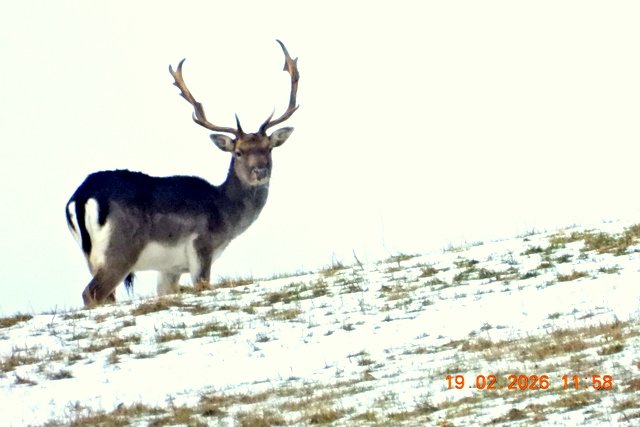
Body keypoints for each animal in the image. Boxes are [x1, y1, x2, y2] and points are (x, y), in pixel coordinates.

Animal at [66, 40, 299, 307]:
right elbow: (202, 283)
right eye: (238, 152)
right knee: (91, 292)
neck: (225, 215)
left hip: (91, 256)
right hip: (121, 250)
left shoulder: (170, 267)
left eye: (268, 148)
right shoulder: (201, 247)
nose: (260, 171)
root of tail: (81, 197)